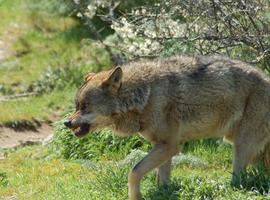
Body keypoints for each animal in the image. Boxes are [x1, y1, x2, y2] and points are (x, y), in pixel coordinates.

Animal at [63, 55, 270, 200]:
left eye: (85, 107)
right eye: (76, 106)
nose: (66, 123)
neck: (145, 96)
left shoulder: (169, 146)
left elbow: (134, 171)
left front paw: (136, 196)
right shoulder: (164, 147)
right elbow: (161, 179)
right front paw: (164, 193)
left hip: (241, 147)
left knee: (238, 181)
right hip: (250, 151)